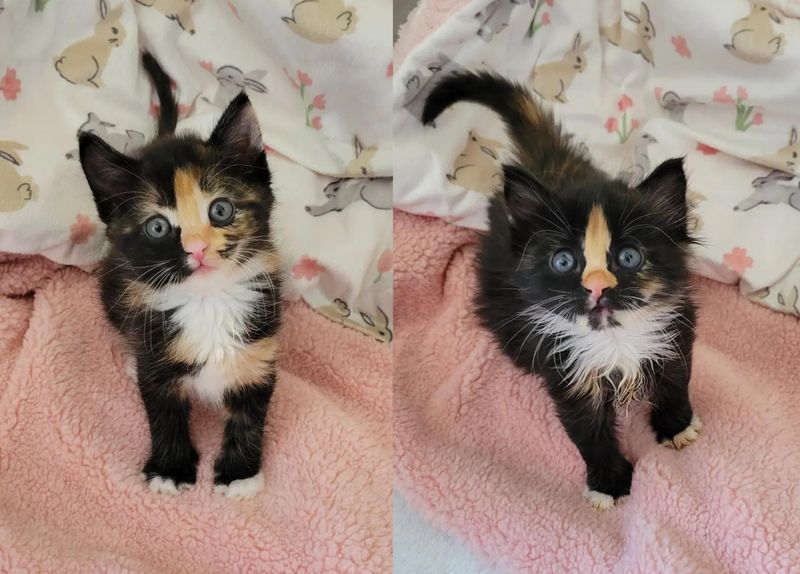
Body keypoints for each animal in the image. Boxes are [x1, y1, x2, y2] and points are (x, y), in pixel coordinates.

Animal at [80, 54, 282, 502]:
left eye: (220, 210)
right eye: (157, 227)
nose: (197, 249)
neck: (208, 302)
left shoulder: (260, 349)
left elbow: (250, 416)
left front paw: (240, 474)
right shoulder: (157, 358)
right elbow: (163, 414)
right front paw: (170, 469)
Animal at [424, 73, 700, 512]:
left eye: (628, 256)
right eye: (564, 261)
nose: (597, 285)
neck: (614, 340)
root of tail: (552, 164)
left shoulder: (675, 331)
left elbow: (676, 380)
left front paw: (677, 426)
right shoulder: (564, 369)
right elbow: (588, 433)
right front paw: (608, 483)